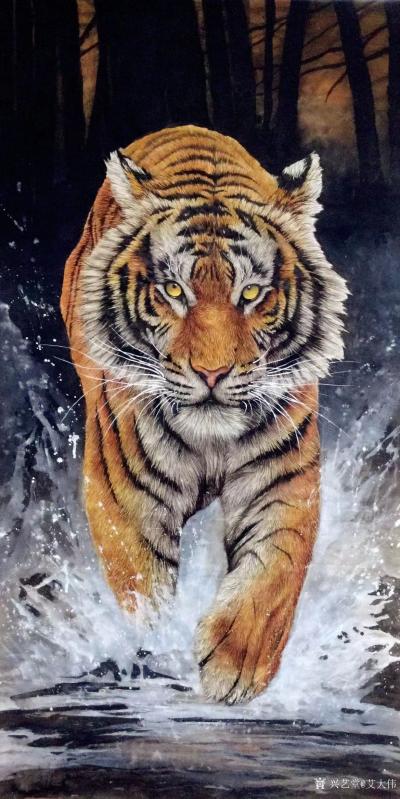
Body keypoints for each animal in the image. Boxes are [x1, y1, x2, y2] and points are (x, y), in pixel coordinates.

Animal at [61, 125, 347, 704]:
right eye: (174, 291)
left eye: (251, 293)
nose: (212, 374)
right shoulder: (126, 495)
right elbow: (142, 589)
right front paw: (157, 648)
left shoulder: (284, 479)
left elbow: (276, 572)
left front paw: (236, 666)